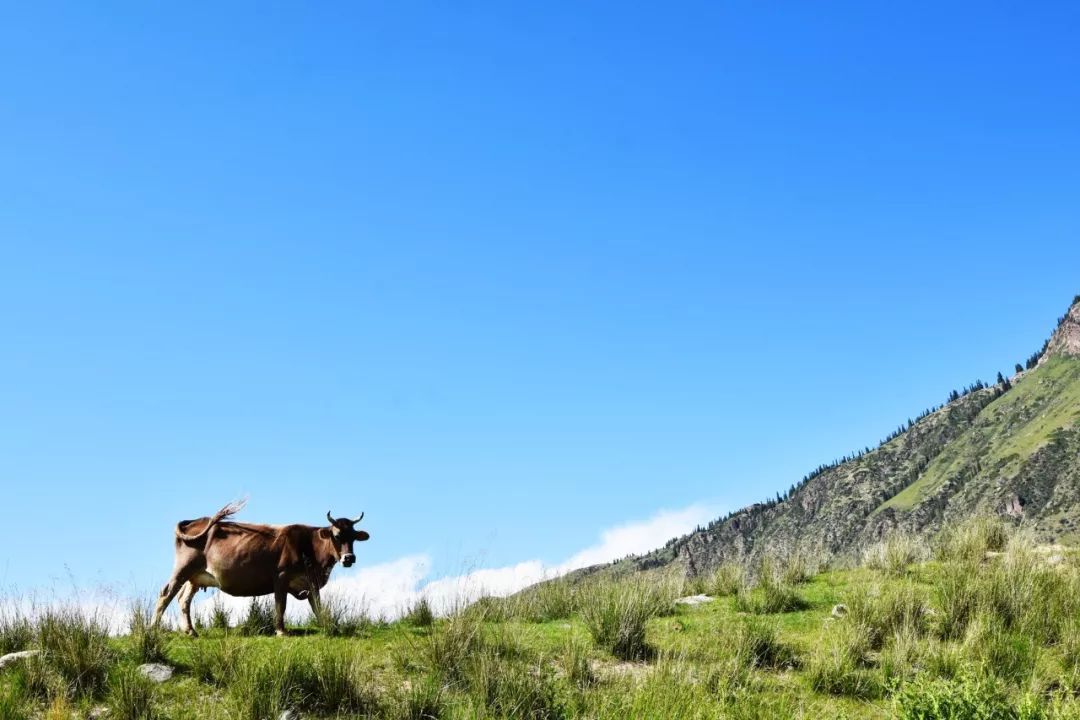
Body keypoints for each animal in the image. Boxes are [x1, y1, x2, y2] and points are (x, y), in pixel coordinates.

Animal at [152, 500, 371, 634]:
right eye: (337, 536)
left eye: (353, 537)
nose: (349, 558)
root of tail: (195, 520)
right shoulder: (281, 576)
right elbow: (280, 604)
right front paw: (281, 631)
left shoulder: (311, 583)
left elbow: (317, 606)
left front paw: (326, 626)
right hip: (183, 568)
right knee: (166, 593)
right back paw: (153, 628)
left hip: (196, 577)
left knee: (183, 599)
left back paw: (191, 631)